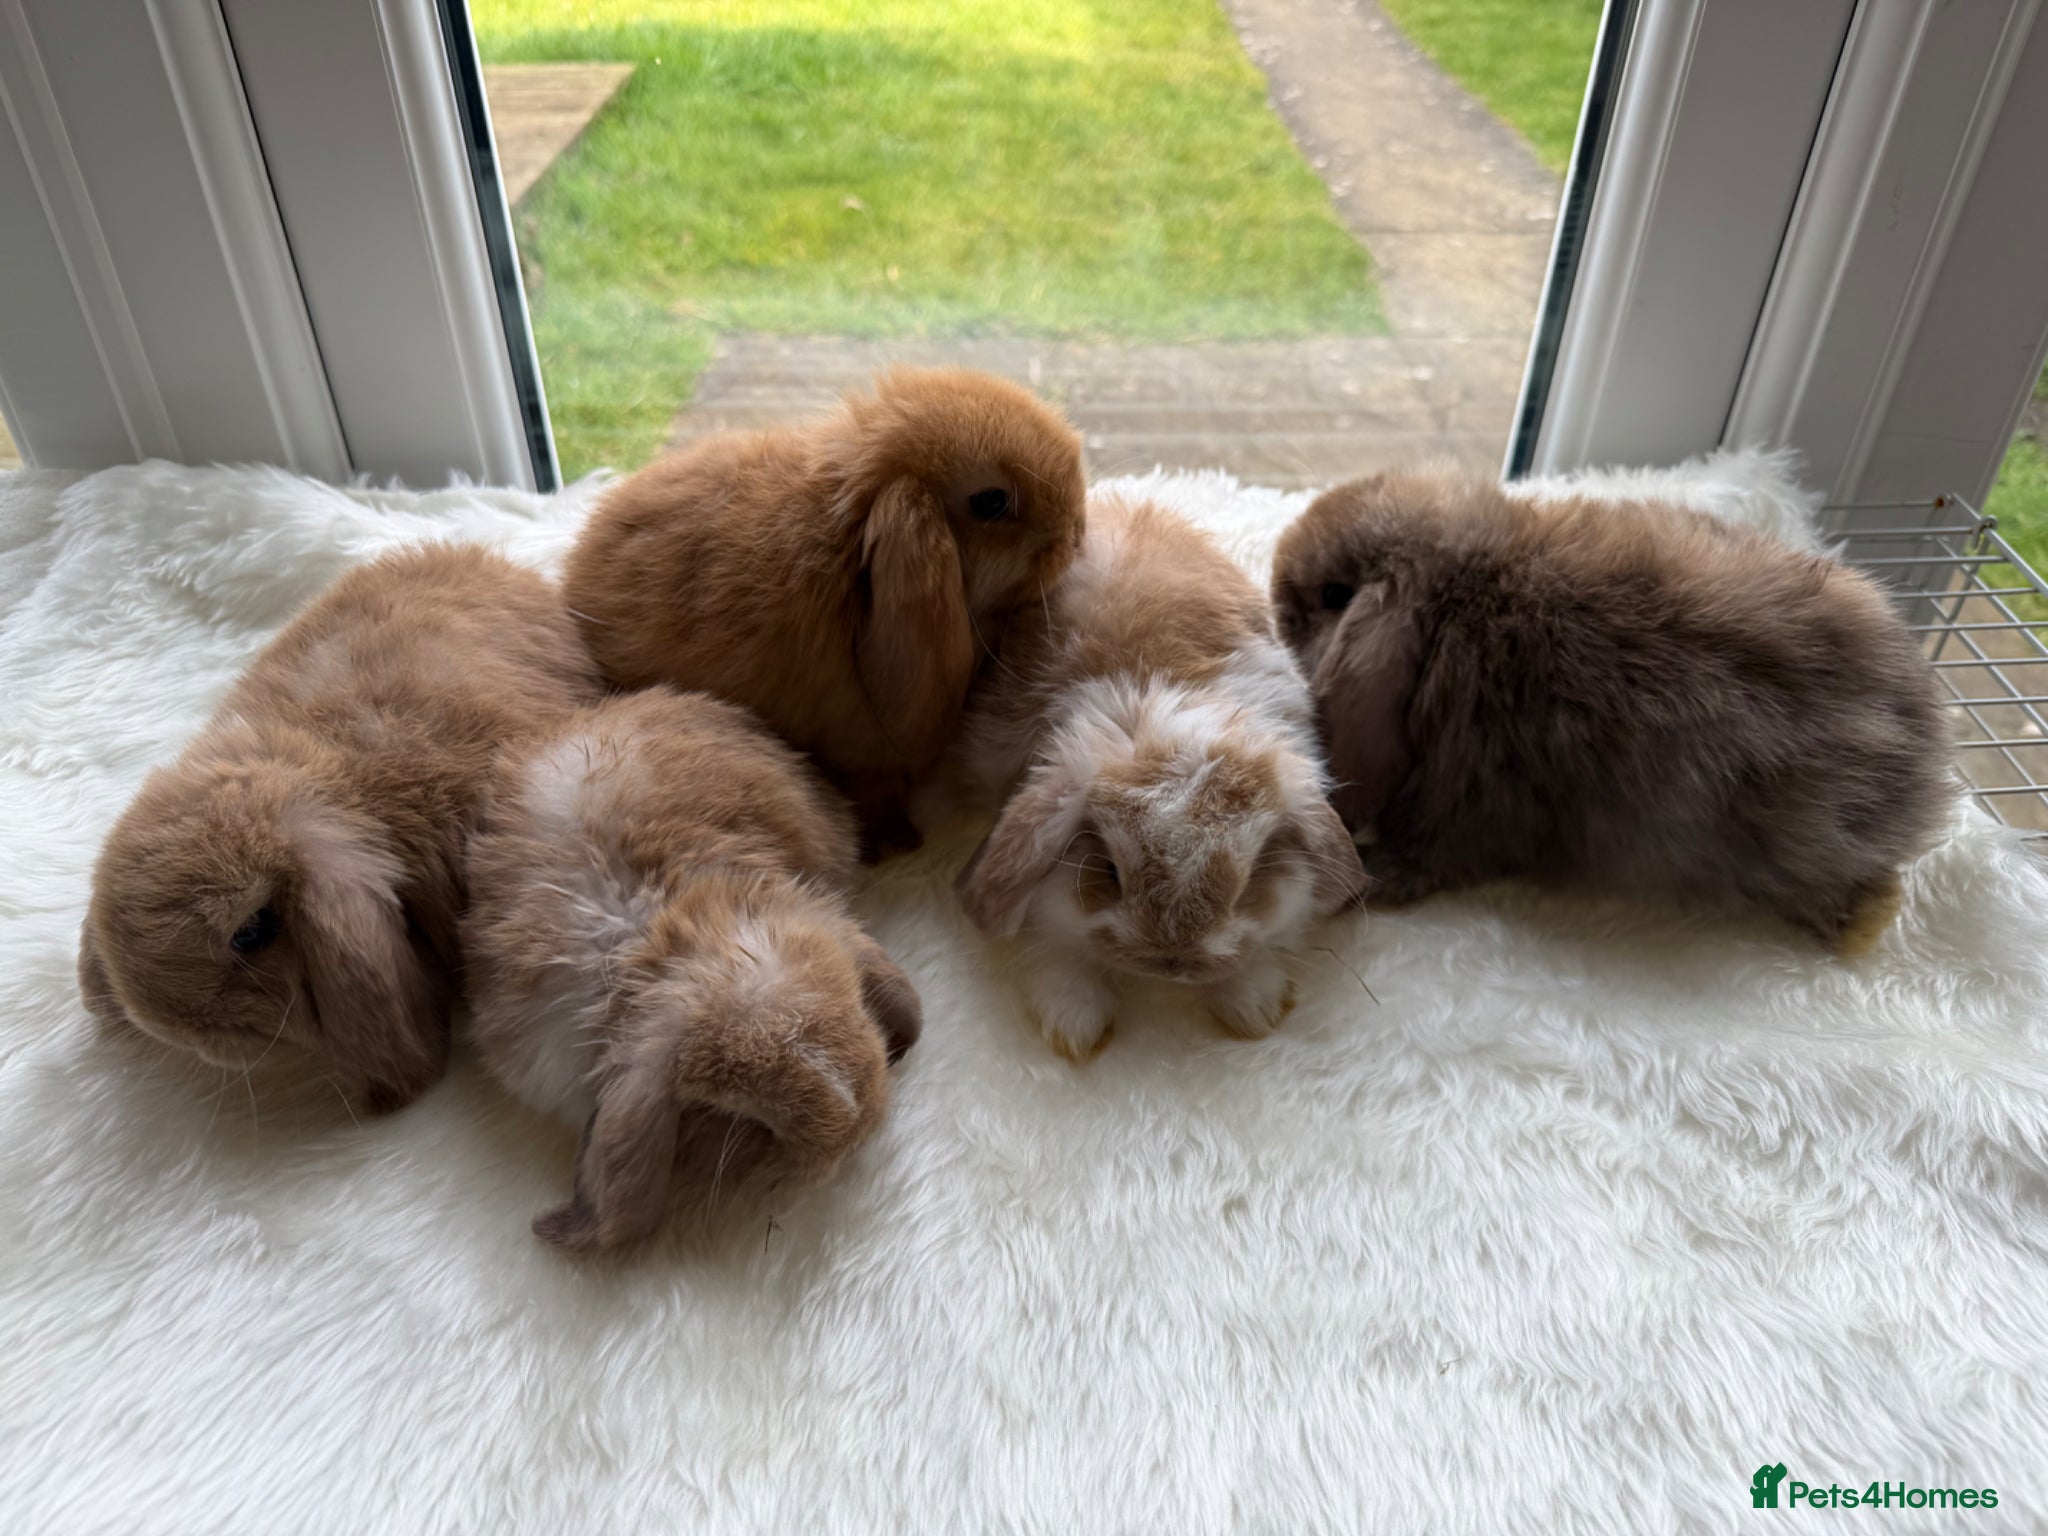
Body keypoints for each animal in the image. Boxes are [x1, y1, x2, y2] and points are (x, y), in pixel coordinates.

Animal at [952, 495, 1366, 1061]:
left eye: (1248, 883)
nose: (1173, 961)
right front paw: (1075, 1030)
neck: (1167, 712)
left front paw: (1255, 1008)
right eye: (1108, 872)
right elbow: (1054, 947)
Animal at [1269, 470, 1952, 955]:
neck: (1469, 602)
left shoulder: (1471, 797)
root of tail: (1922, 768)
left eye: (1334, 595)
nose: (1277, 595)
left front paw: (1373, 877)